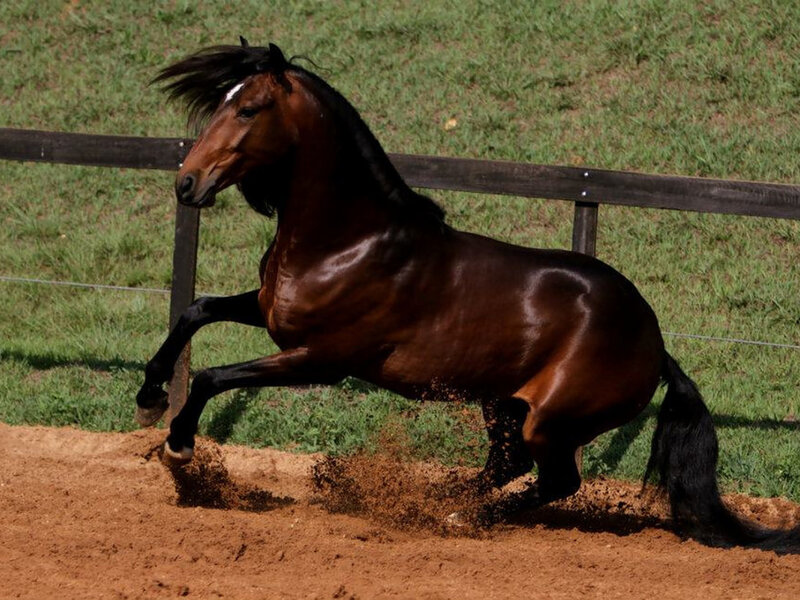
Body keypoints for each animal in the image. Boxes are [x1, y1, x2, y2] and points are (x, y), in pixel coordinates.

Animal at [136, 39, 795, 547]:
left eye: (249, 108)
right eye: (220, 102)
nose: (187, 183)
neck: (351, 240)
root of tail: (657, 346)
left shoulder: (319, 360)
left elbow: (210, 375)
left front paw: (179, 449)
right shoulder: (272, 316)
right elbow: (196, 310)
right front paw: (148, 395)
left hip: (551, 420)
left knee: (555, 480)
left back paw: (458, 515)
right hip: (503, 404)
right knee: (508, 465)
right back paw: (439, 496)